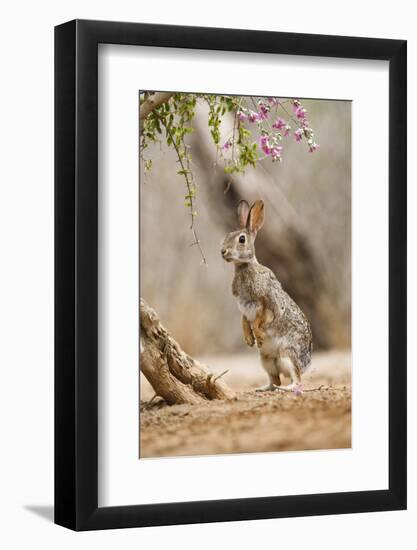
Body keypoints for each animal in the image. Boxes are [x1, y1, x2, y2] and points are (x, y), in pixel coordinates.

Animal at [221, 199, 312, 392]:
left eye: (241, 239)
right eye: (227, 235)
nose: (223, 251)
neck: (245, 266)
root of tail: (307, 363)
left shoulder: (266, 304)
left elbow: (260, 320)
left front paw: (258, 335)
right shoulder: (243, 307)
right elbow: (244, 321)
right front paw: (249, 339)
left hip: (287, 355)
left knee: (296, 380)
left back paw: (286, 388)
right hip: (266, 361)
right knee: (274, 380)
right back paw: (261, 388)